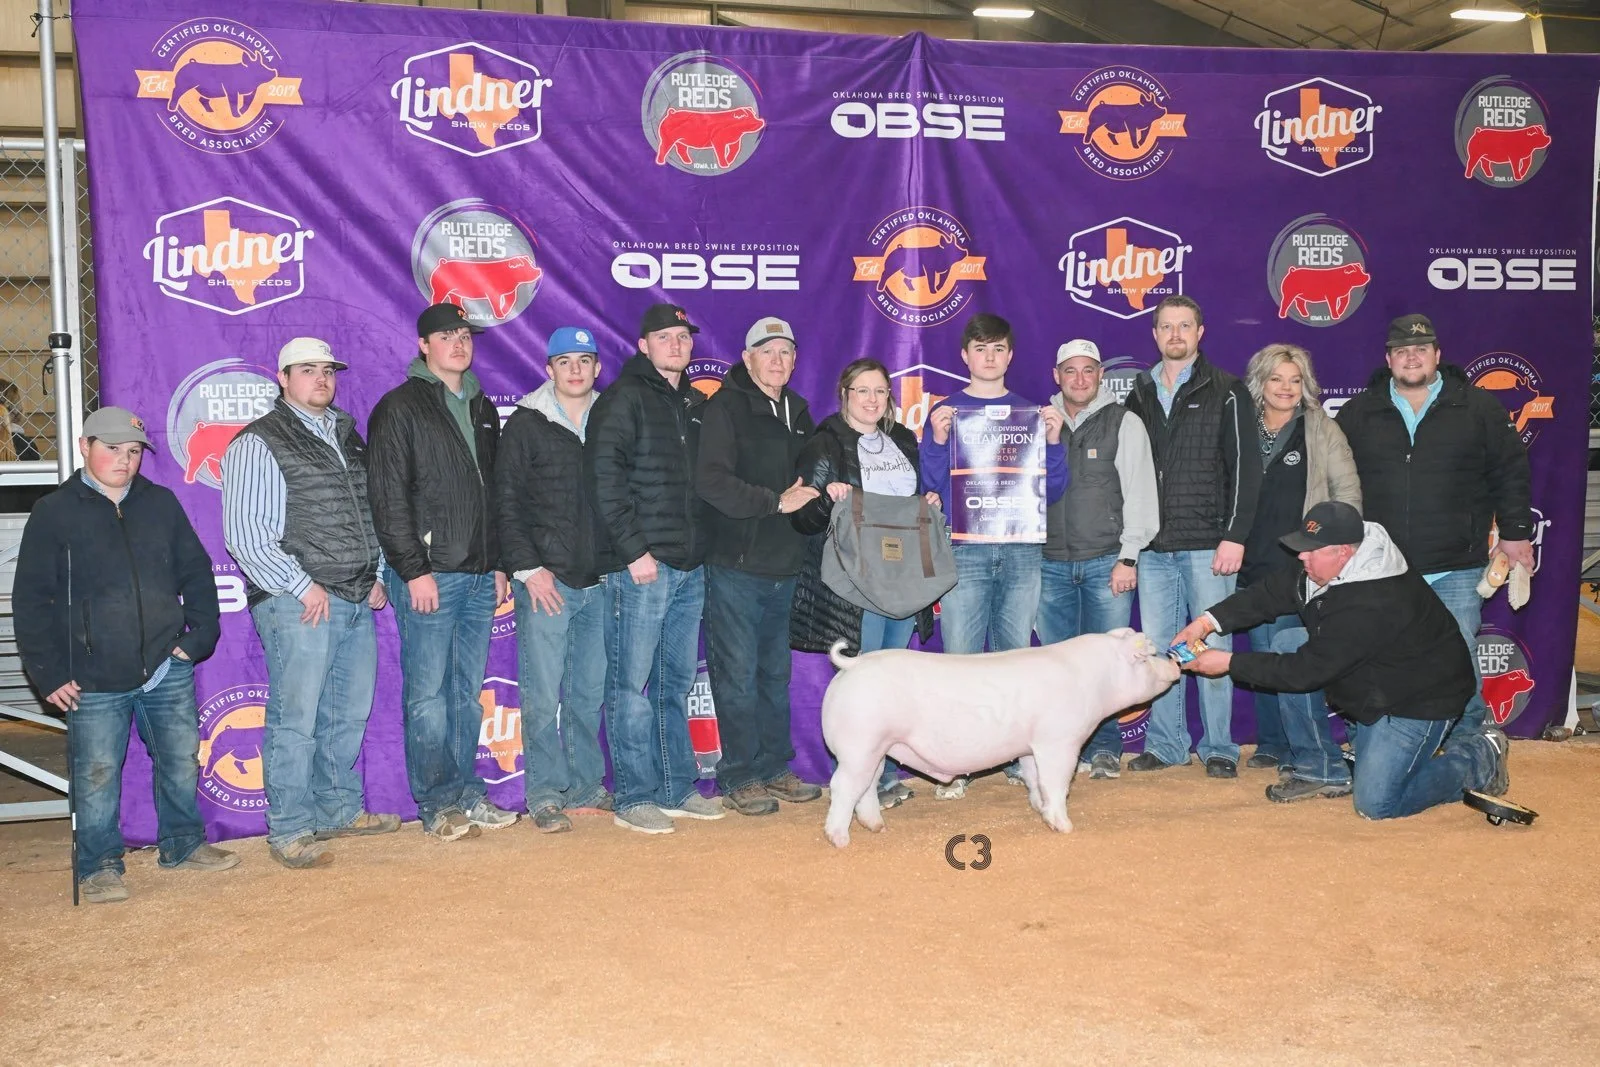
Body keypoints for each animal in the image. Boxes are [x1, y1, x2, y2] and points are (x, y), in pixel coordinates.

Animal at [820, 628, 1180, 848]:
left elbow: (1035, 780)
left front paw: (1040, 810)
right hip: (859, 744)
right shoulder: (1059, 740)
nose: (1175, 665)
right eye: (1146, 658)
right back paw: (840, 840)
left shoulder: (1031, 746)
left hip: (876, 748)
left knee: (866, 787)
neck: (1094, 680)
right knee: (843, 787)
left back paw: (877, 827)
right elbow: (1057, 782)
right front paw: (1064, 827)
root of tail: (851, 666)